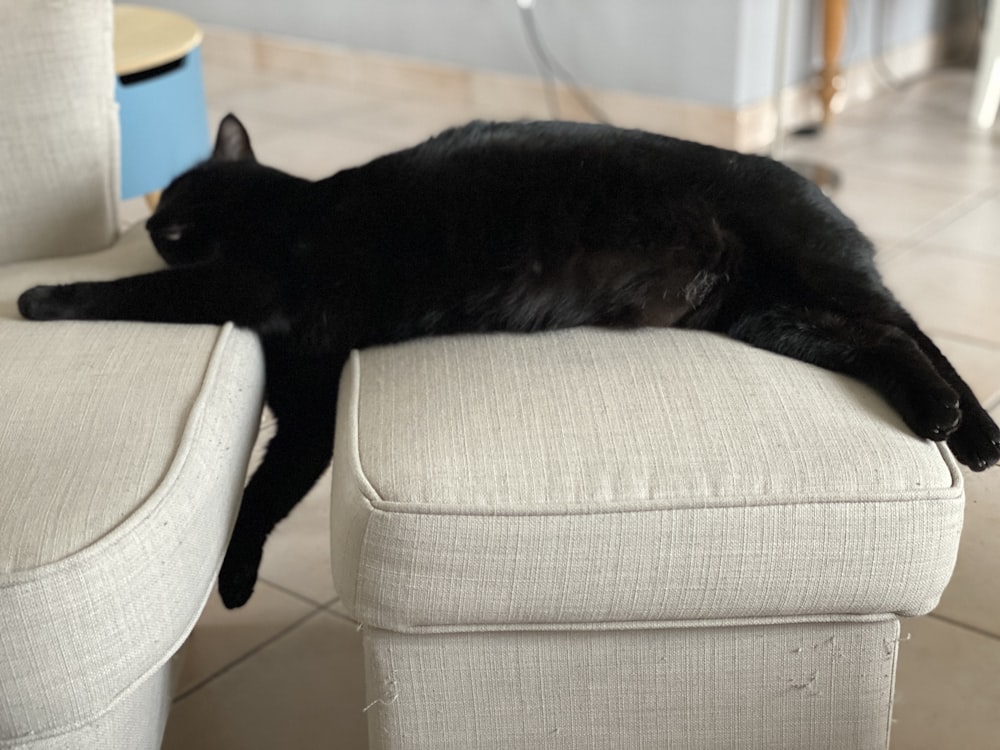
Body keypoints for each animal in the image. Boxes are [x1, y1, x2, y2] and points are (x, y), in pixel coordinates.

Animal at [17, 117, 1000, 612]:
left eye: (171, 219)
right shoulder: (308, 414)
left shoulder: (241, 290)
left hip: (810, 276)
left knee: (908, 330)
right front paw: (235, 580)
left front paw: (41, 299)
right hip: (769, 316)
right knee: (880, 342)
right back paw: (949, 425)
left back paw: (969, 429)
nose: (147, 217)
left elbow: (136, 293)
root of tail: (806, 180)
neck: (281, 209)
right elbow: (265, 491)